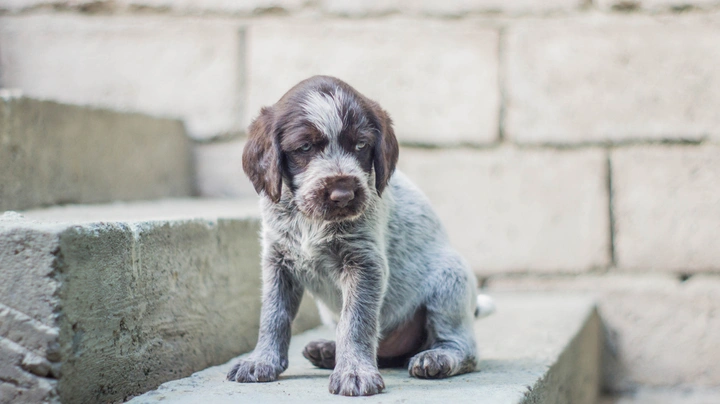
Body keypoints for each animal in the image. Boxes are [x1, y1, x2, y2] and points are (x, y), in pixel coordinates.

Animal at [228, 75, 492, 394]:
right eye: (305, 147)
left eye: (361, 145)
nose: (343, 194)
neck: (310, 220)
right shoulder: (278, 261)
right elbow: (273, 315)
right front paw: (262, 360)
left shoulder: (364, 263)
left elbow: (356, 321)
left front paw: (354, 372)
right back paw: (328, 351)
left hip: (450, 282)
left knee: (463, 346)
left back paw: (438, 357)